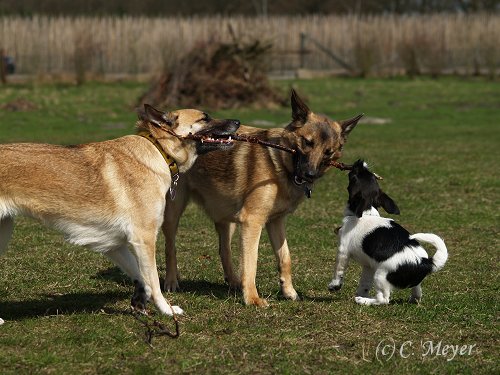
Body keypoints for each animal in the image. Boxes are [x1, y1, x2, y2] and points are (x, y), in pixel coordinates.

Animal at [0, 103, 240, 324]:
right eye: (205, 118)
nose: (237, 122)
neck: (157, 150)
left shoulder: (113, 244)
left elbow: (142, 278)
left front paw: (140, 304)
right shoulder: (144, 239)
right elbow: (154, 280)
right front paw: (166, 310)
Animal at [162, 91, 362, 308]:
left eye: (328, 152)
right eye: (307, 142)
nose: (309, 174)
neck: (279, 162)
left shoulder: (275, 222)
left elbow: (285, 258)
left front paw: (289, 292)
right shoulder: (253, 221)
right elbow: (251, 262)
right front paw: (252, 298)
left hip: (226, 217)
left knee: (224, 250)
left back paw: (233, 282)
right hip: (174, 212)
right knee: (170, 247)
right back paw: (172, 282)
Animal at [328, 161, 450, 306]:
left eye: (354, 176)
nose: (360, 162)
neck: (367, 212)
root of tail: (425, 262)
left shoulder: (343, 251)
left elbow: (338, 271)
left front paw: (335, 286)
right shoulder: (369, 265)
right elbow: (365, 283)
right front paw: (361, 292)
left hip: (381, 275)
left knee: (383, 299)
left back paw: (363, 301)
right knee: (417, 292)